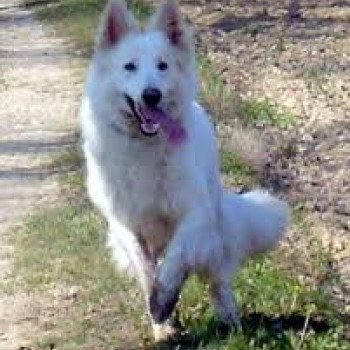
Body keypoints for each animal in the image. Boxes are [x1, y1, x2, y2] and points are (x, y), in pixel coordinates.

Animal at [80, 0, 288, 340]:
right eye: (129, 67)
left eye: (163, 66)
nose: (152, 95)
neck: (145, 146)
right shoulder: (125, 224)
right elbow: (147, 273)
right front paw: (161, 318)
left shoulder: (195, 213)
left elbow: (177, 258)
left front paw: (165, 298)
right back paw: (164, 327)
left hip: (214, 235)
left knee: (216, 280)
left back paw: (230, 320)